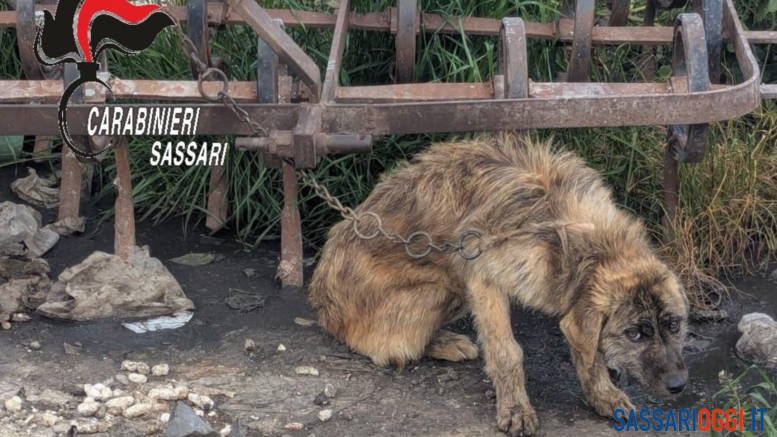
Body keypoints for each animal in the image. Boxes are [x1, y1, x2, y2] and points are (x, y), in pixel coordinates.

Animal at [309, 134, 689, 436]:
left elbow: (589, 352)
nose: (678, 386)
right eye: (633, 334)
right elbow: (507, 352)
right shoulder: (483, 276)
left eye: (674, 325)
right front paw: (516, 409)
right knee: (386, 344)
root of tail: (322, 304)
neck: (568, 230)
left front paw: (602, 394)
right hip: (444, 288)